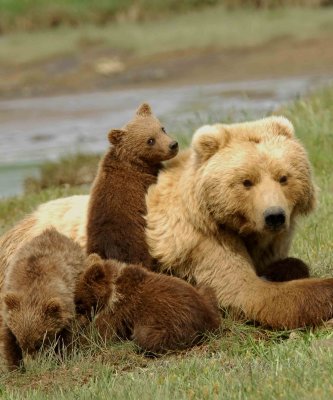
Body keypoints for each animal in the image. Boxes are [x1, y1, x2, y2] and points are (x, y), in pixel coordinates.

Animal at [1, 115, 330, 328]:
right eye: (246, 181)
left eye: (283, 177)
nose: (274, 216)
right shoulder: (199, 241)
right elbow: (245, 291)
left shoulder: (267, 242)